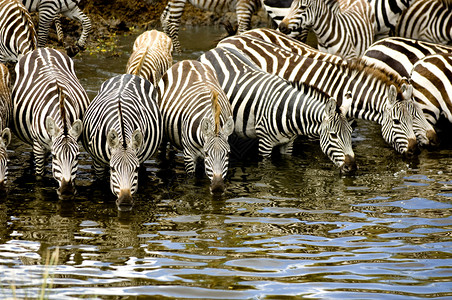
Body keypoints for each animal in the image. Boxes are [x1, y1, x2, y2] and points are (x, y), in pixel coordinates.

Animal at [11, 47, 88, 195]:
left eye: (76, 157)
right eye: (55, 156)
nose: (66, 191)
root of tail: (43, 49)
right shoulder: (38, 146)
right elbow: (39, 177)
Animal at [82, 74, 162, 211]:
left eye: (136, 169)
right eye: (112, 168)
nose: (125, 203)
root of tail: (128, 75)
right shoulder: (98, 162)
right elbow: (101, 184)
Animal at [158, 59, 233, 193]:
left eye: (228, 154)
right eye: (207, 153)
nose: (218, 188)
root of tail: (188, 61)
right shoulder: (189, 155)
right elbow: (192, 179)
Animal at [198, 46, 356, 172]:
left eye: (350, 132)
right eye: (333, 135)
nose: (351, 167)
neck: (289, 113)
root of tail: (213, 50)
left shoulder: (288, 144)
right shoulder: (265, 143)